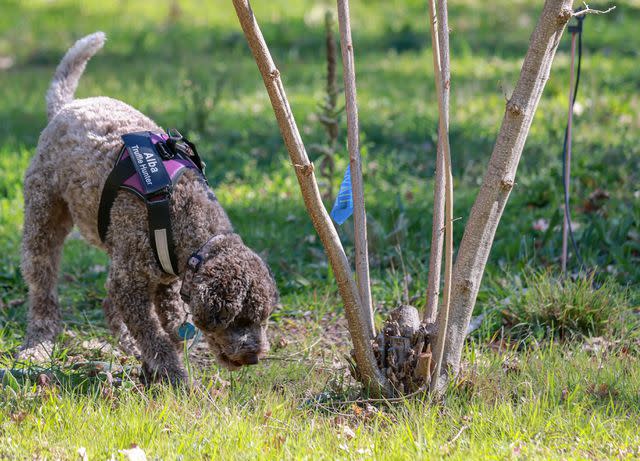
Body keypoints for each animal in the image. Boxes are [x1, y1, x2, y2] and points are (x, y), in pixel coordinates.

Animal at [16, 33, 278, 384]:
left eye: (263, 317)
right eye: (238, 318)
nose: (254, 357)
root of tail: (66, 106)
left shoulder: (163, 281)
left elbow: (171, 326)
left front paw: (157, 365)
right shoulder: (132, 281)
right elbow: (155, 336)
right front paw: (174, 375)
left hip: (115, 249)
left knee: (107, 302)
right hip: (44, 216)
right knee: (42, 287)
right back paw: (38, 345)